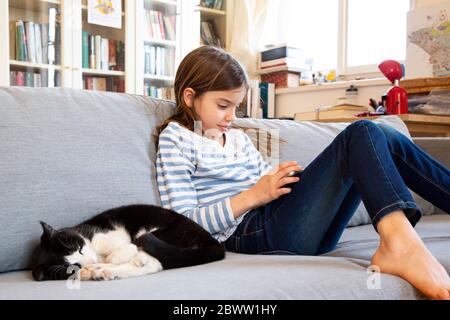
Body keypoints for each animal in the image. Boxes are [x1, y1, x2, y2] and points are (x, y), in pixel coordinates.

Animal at [32, 204, 225, 282]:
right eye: (73, 267)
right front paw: (93, 267)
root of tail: (213, 242)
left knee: (150, 259)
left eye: (79, 248)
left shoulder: (108, 233)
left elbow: (124, 246)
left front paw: (112, 258)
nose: (90, 262)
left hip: (168, 230)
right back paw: (99, 272)